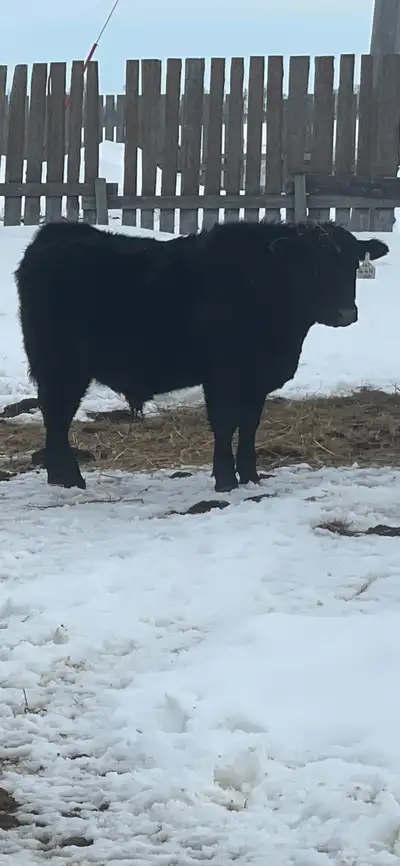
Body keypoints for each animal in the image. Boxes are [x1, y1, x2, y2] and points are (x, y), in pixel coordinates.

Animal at [15, 219, 389, 493]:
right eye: (312, 267)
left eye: (352, 264)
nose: (345, 313)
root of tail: (56, 232)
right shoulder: (222, 375)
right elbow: (224, 424)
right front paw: (225, 480)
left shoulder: (256, 380)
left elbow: (249, 426)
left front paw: (250, 476)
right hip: (60, 366)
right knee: (57, 416)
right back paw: (70, 478)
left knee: (56, 417)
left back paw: (60, 476)